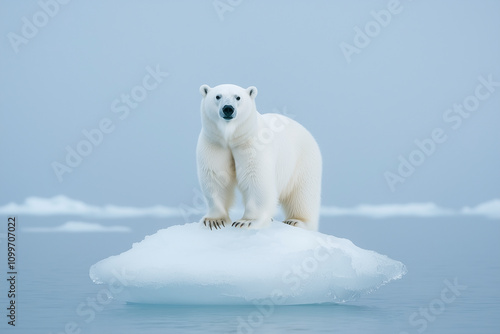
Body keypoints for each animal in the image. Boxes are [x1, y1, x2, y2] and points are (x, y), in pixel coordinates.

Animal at [195, 83, 320, 230]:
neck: (231, 138)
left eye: (238, 97)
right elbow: (216, 177)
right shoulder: (215, 145)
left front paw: (246, 221)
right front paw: (214, 220)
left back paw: (296, 221)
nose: (228, 109)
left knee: (302, 194)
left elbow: (255, 178)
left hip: (303, 160)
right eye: (217, 96)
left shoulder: (252, 144)